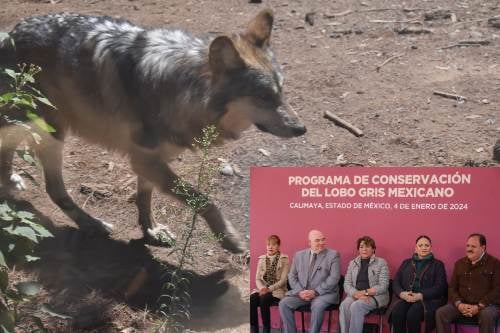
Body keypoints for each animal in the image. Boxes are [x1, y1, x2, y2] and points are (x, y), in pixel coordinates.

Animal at [0, 9, 304, 252]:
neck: (183, 87)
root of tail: (11, 34)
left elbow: (144, 198)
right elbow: (203, 200)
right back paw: (91, 223)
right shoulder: (145, 159)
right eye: (264, 96)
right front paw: (229, 238)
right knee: (53, 189)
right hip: (52, 132)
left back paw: (11, 181)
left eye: (281, 91)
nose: (301, 129)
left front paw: (151, 230)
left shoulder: (149, 159)